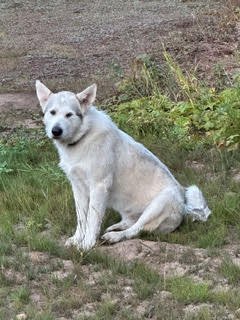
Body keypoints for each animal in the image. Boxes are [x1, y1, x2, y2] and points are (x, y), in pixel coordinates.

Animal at [35, 81, 210, 251]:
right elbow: (82, 219)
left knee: (136, 229)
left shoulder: (99, 186)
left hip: (159, 204)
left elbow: (92, 219)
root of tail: (185, 207)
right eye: (52, 112)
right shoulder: (77, 187)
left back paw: (114, 236)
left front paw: (87, 244)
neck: (81, 139)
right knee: (130, 222)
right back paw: (114, 227)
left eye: (69, 115)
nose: (56, 131)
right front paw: (77, 239)